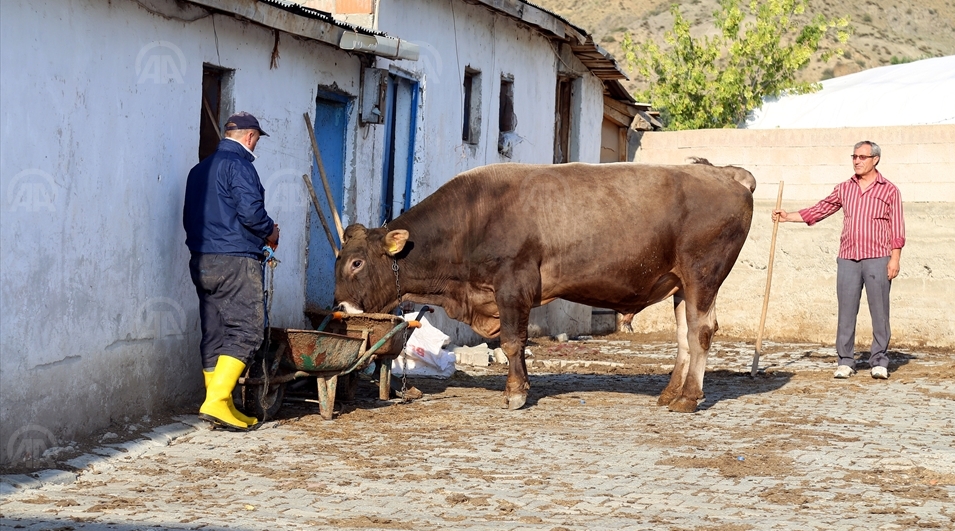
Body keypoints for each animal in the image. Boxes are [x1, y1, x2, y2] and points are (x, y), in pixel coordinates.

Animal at [334, 160, 756, 414]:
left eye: (356, 262)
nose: (342, 308)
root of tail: (724, 173)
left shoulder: (512, 284)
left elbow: (511, 341)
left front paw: (516, 392)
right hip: (681, 283)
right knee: (685, 335)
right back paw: (670, 393)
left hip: (703, 274)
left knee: (701, 331)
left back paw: (688, 398)